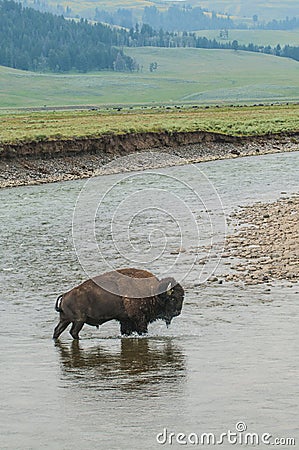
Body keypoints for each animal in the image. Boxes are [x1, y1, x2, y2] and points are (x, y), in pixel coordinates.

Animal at [54, 268, 185, 338]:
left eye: (182, 298)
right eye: (173, 298)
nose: (178, 312)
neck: (153, 292)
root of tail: (65, 295)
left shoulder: (125, 321)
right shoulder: (139, 320)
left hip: (65, 320)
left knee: (57, 330)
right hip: (79, 321)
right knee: (73, 332)